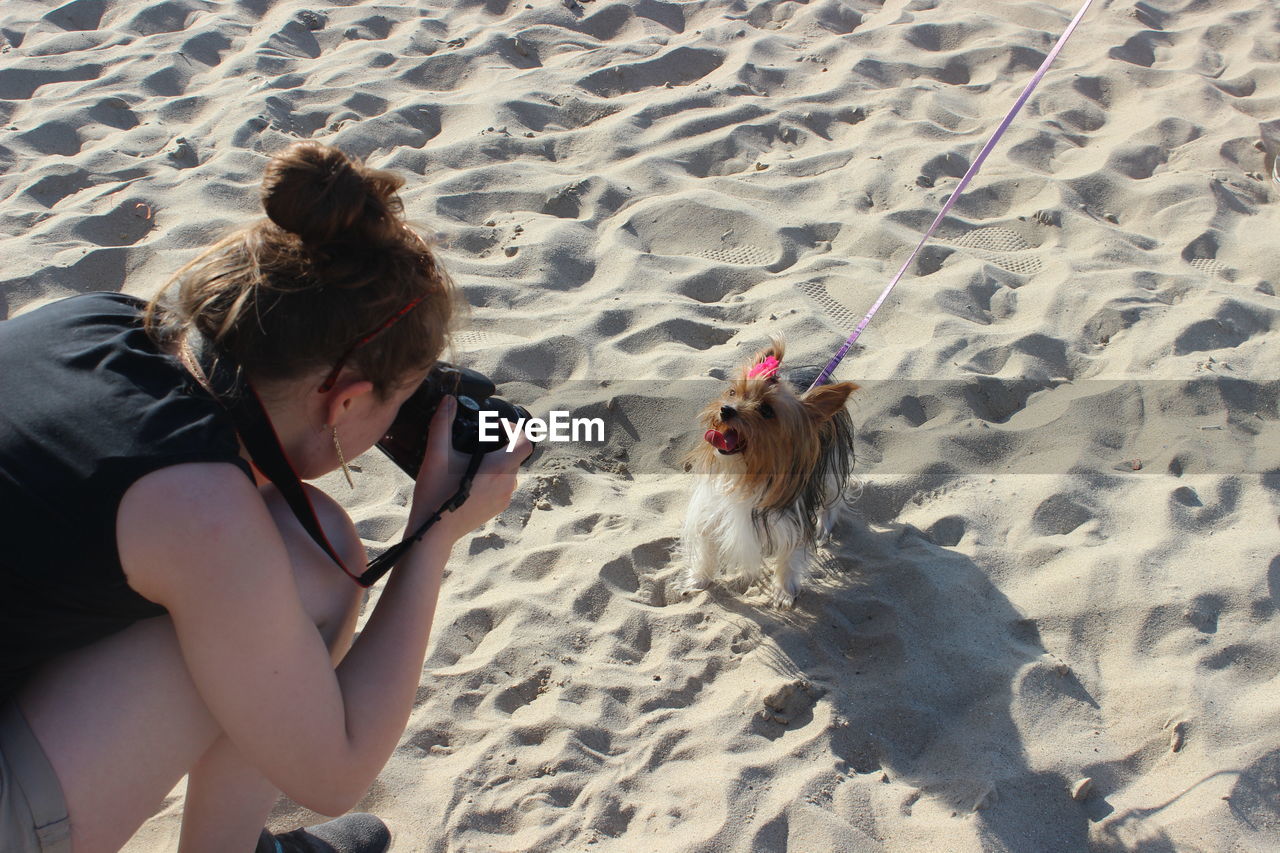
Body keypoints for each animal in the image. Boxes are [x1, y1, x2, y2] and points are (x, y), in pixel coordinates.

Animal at [675, 338, 855, 604]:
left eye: (767, 411)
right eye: (733, 393)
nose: (726, 409)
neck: (746, 470)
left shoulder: (792, 517)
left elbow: (791, 553)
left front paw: (783, 591)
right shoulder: (711, 505)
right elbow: (707, 543)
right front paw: (699, 579)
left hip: (831, 464)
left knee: (832, 497)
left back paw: (824, 527)